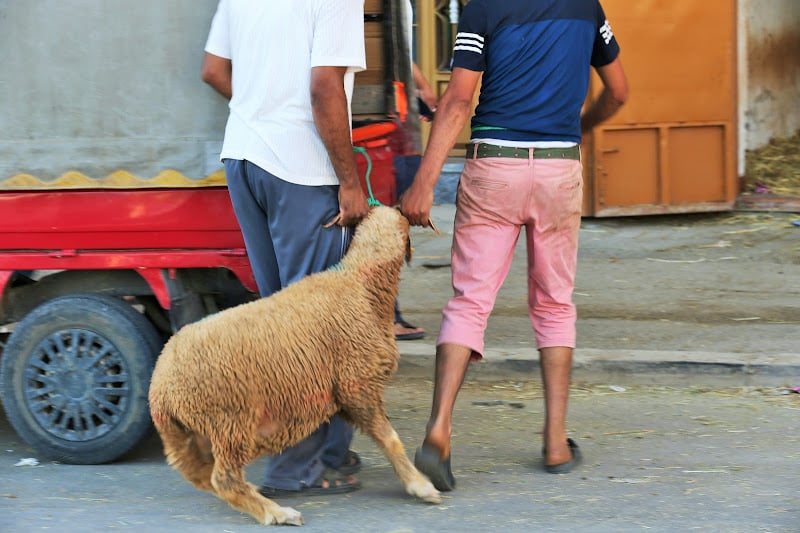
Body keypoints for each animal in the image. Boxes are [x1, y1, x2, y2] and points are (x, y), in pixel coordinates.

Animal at [147, 206, 440, 524]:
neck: (359, 282)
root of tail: (161, 388)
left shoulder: (345, 390)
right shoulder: (356, 384)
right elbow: (390, 439)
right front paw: (420, 485)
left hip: (186, 436)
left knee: (201, 476)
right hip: (230, 421)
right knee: (224, 479)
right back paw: (277, 513)